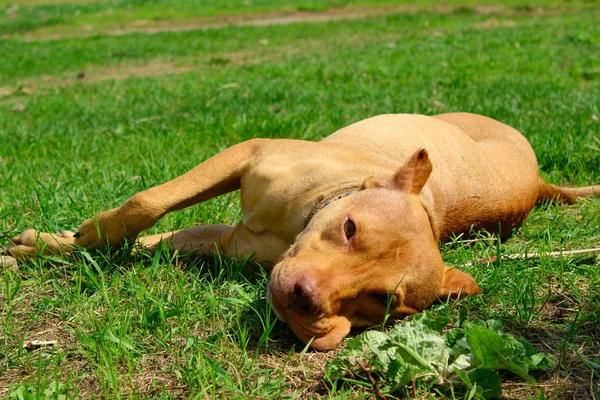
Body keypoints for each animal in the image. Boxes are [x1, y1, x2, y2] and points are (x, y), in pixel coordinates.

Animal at [3, 112, 596, 350]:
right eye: (350, 228)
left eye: (382, 301)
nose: (304, 298)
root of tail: (538, 180)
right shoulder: (245, 154)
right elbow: (144, 205)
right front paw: (62, 244)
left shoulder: (225, 241)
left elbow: (159, 234)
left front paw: (58, 247)